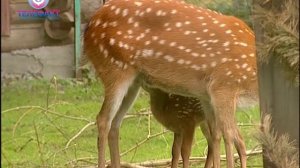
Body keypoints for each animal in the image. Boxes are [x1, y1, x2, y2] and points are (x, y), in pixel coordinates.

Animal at [83, 0, 256, 167]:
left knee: (115, 123)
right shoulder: (224, 86)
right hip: (114, 68)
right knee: (103, 119)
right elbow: (228, 135)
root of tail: (89, 26)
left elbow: (217, 135)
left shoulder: (207, 95)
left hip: (133, 81)